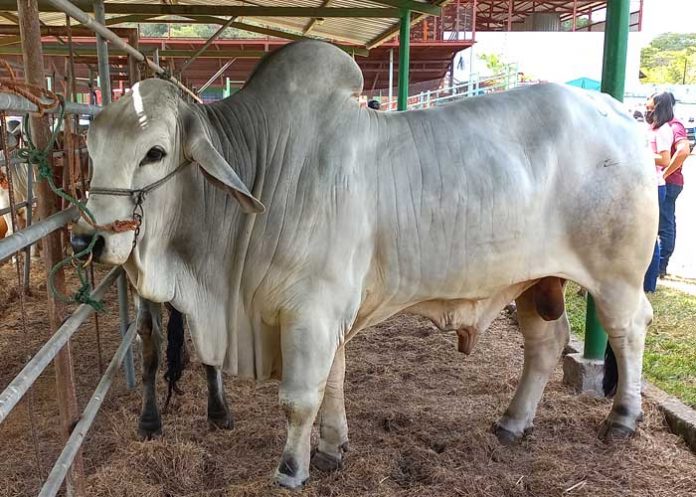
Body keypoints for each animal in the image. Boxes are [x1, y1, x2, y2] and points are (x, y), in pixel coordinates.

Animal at [72, 40, 656, 486]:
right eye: (90, 147)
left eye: (154, 152)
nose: (86, 241)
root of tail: (622, 115)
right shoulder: (325, 315)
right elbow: (333, 381)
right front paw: (332, 449)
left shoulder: (313, 309)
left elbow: (300, 397)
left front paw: (292, 469)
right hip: (536, 282)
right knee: (545, 345)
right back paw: (513, 422)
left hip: (616, 276)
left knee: (628, 331)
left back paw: (622, 420)